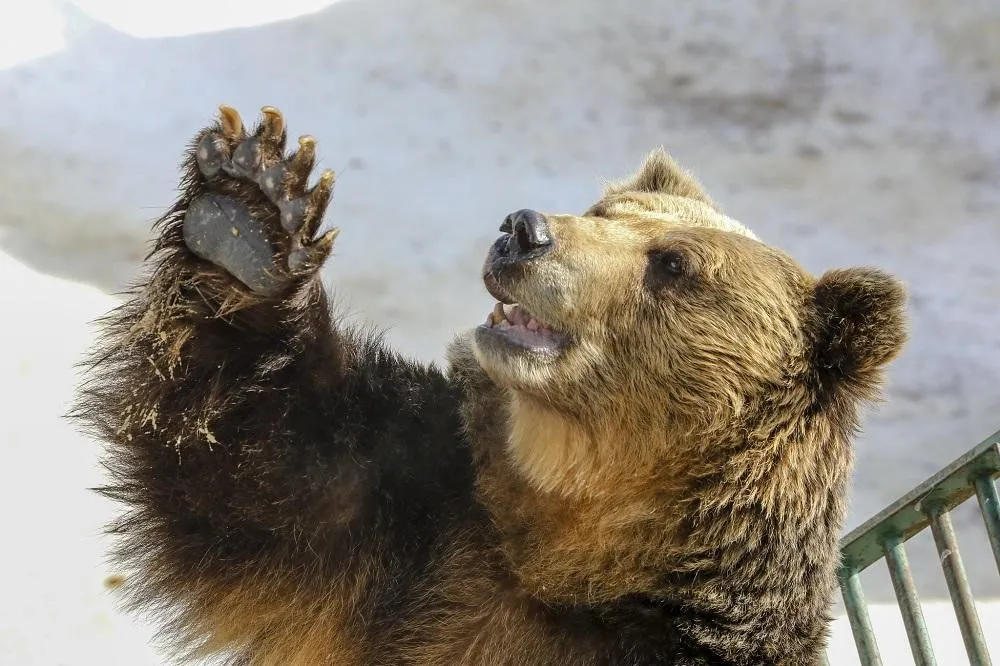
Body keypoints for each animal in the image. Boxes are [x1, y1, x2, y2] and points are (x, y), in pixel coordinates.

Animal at [74, 105, 907, 666]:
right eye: (606, 209)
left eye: (672, 263)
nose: (524, 230)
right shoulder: (416, 527)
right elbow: (250, 467)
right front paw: (252, 206)